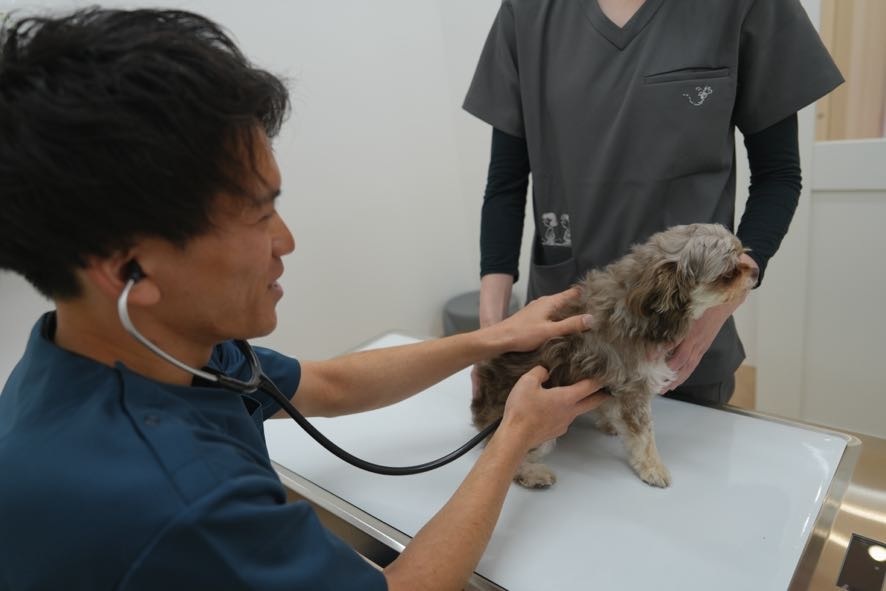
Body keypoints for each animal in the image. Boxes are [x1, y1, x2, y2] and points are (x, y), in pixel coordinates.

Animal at [471, 223, 759, 489]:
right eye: (729, 273)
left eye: (742, 256)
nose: (756, 271)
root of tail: (480, 411)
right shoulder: (635, 388)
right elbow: (644, 437)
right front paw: (653, 468)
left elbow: (615, 411)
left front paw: (610, 421)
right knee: (502, 456)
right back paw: (533, 474)